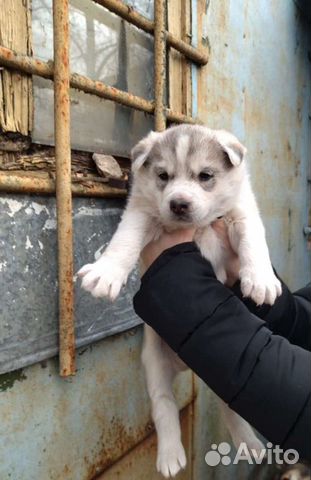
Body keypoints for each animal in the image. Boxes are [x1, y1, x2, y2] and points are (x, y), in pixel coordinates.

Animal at [78, 125, 282, 478]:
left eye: (205, 176)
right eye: (163, 176)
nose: (178, 204)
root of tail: (186, 366)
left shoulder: (242, 214)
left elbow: (254, 243)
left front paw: (261, 279)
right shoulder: (141, 214)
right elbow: (124, 241)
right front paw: (106, 272)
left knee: (232, 408)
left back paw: (249, 444)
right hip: (154, 363)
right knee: (164, 405)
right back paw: (171, 454)